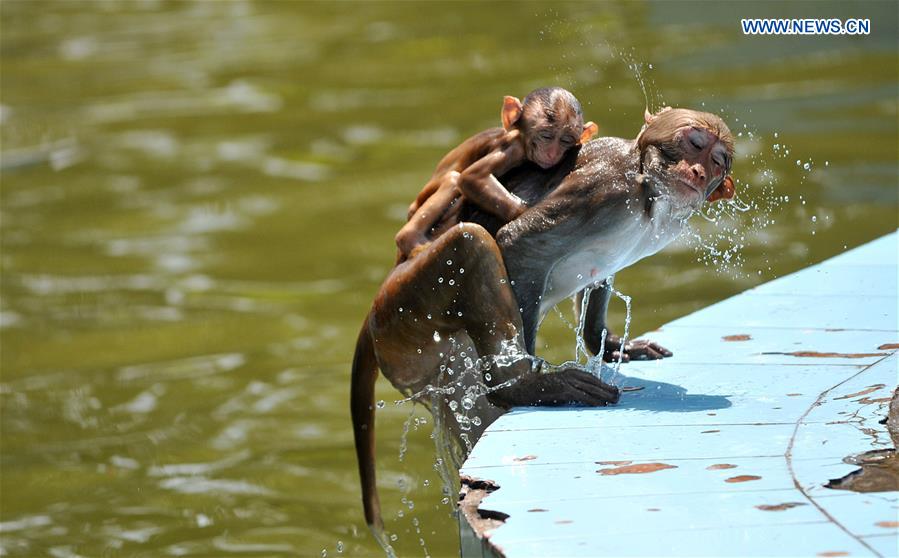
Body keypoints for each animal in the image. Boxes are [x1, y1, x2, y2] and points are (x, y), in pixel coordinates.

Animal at [350, 107, 732, 536]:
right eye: (694, 143)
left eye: (718, 161)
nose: (697, 172)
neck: (649, 196)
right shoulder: (605, 186)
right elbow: (518, 242)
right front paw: (531, 381)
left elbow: (600, 270)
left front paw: (608, 342)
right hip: (403, 312)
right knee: (471, 241)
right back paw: (518, 383)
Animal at [396, 87, 596, 262]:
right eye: (546, 136)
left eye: (566, 140)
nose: (552, 154)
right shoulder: (513, 149)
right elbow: (471, 177)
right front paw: (526, 211)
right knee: (453, 179)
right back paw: (409, 239)